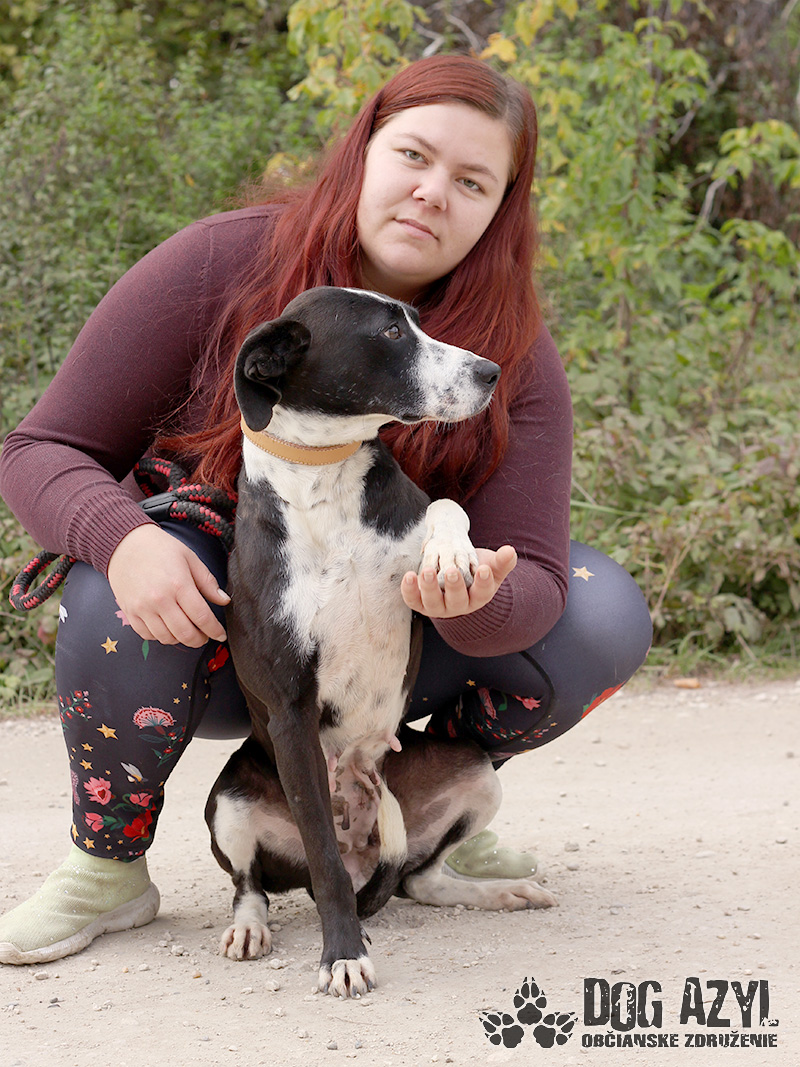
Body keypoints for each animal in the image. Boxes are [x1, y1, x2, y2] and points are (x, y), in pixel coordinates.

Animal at [205, 287, 555, 999]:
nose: (490, 373)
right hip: (228, 799)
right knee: (256, 884)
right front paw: (342, 955)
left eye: (416, 319)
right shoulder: (290, 715)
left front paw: (453, 557)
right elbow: (322, 863)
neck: (325, 477)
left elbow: (447, 507)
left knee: (423, 878)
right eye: (391, 332)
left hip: (475, 773)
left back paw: (499, 892)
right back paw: (251, 927)